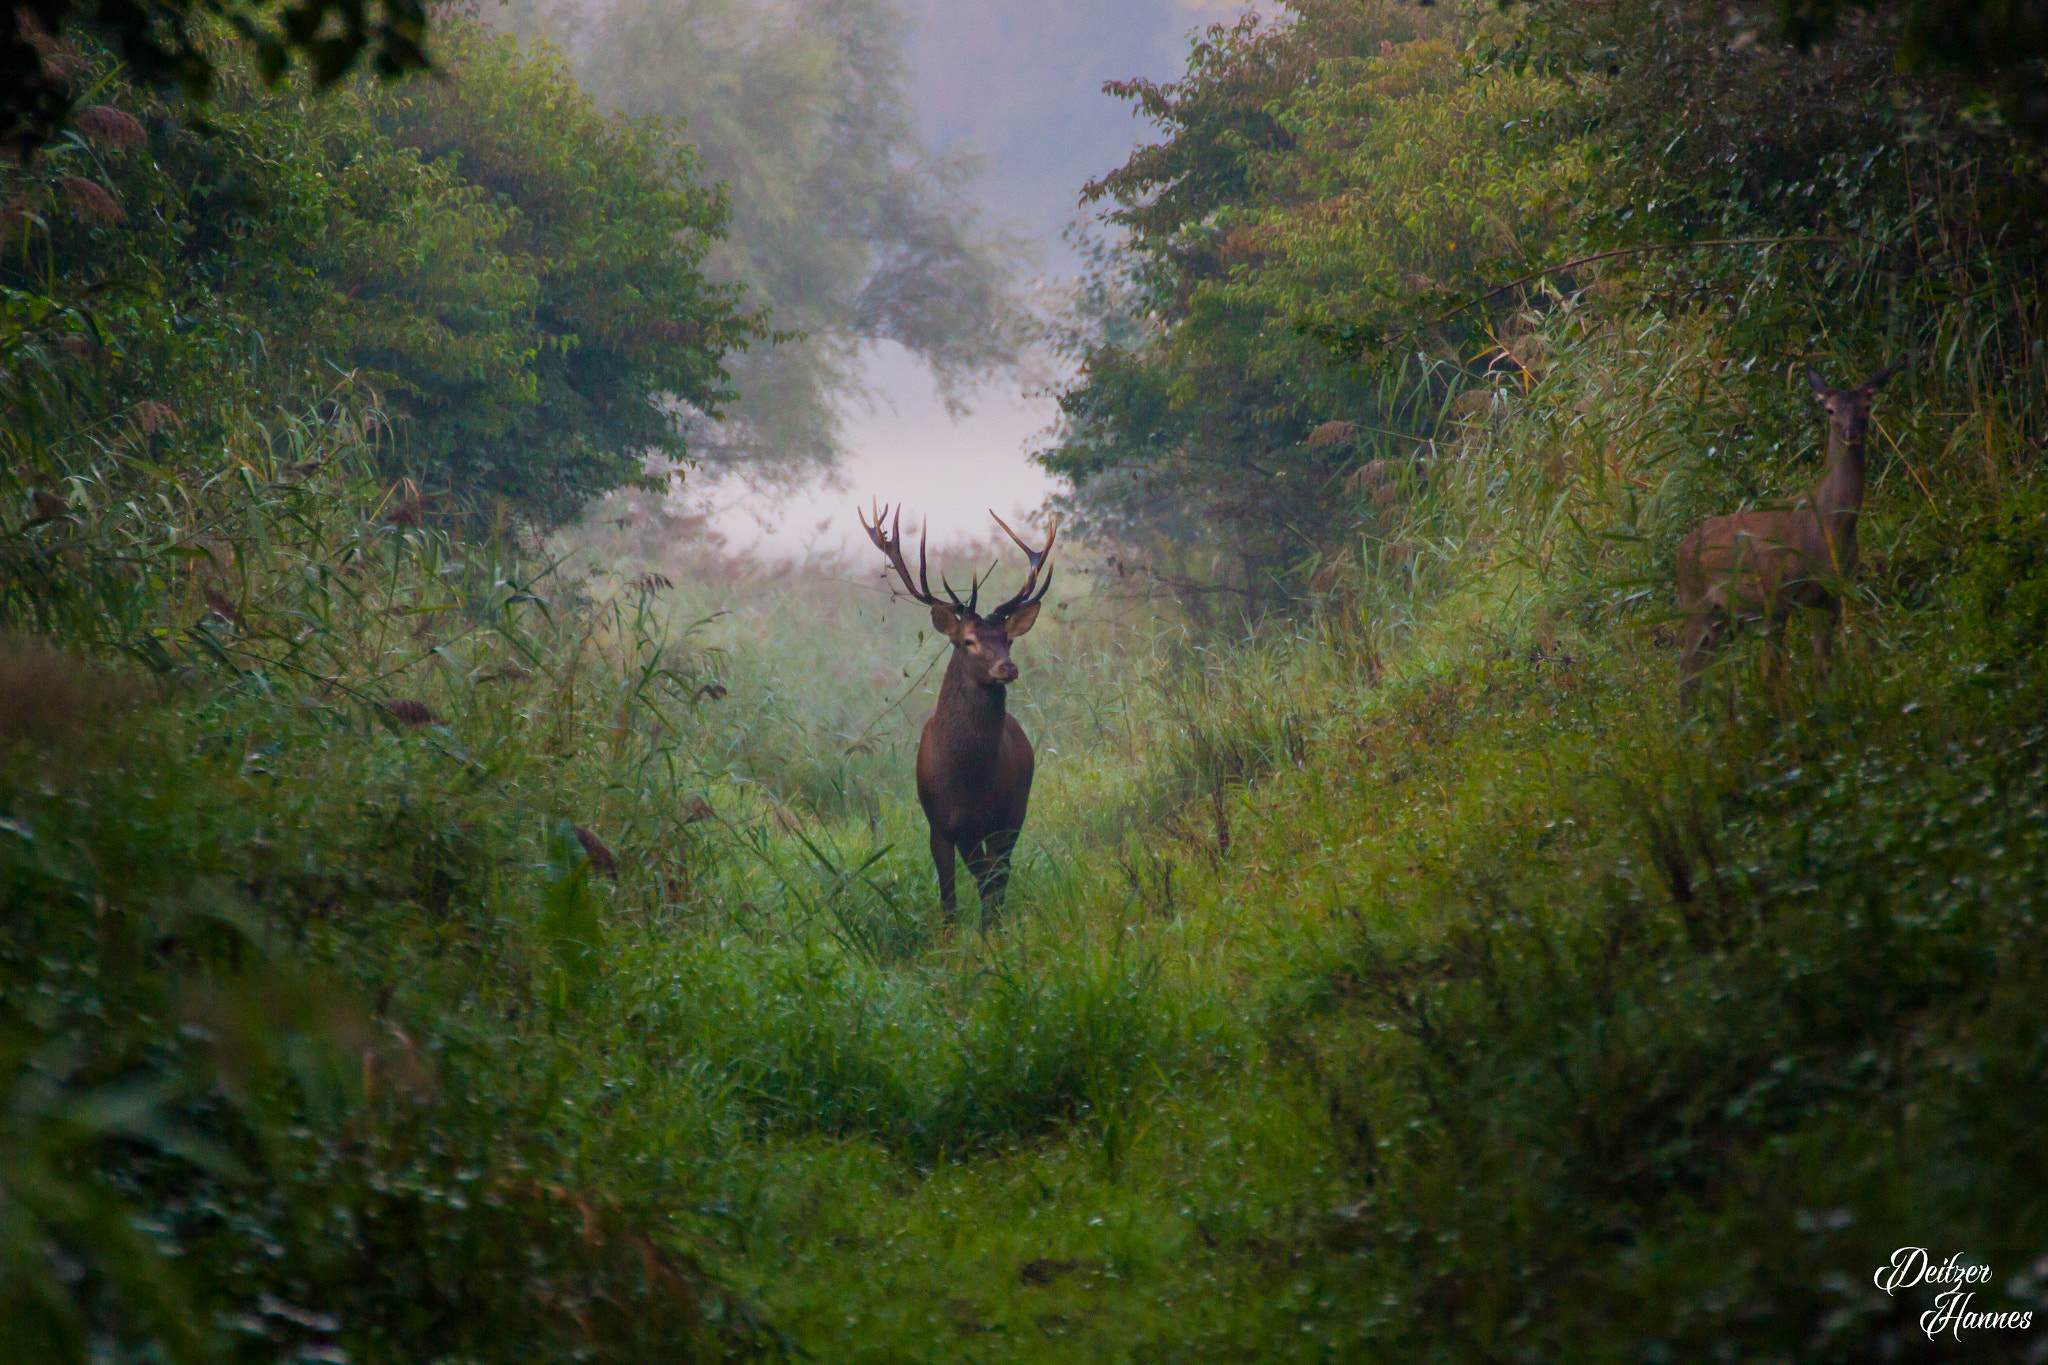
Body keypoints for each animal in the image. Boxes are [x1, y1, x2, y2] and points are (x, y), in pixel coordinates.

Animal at [860, 503, 1057, 927]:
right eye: (968, 641)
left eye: (1007, 639)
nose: (1007, 668)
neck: (966, 778)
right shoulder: (940, 823)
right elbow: (949, 901)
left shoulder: (994, 820)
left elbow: (990, 883)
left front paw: (990, 937)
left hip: (1016, 810)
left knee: (999, 876)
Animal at [1676, 360, 1902, 711]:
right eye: (1829, 409)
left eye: (1867, 405)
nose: (1851, 433)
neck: (1826, 528)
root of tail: (1679, 550)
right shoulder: (1775, 597)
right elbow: (1773, 673)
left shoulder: (1831, 594)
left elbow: (1823, 668)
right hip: (1696, 605)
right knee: (1687, 675)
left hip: (1723, 618)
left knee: (1701, 674)